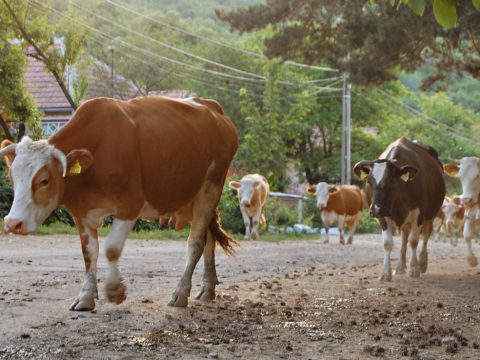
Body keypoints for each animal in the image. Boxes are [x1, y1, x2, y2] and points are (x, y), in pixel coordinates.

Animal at [0, 95, 239, 310]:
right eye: (12, 177)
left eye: (44, 180)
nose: (13, 223)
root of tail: (212, 107)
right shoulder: (81, 211)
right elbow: (89, 253)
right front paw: (86, 296)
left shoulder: (130, 204)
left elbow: (112, 248)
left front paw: (115, 291)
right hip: (191, 199)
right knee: (208, 239)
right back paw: (207, 289)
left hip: (210, 187)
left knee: (196, 242)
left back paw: (181, 293)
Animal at [352, 138, 446, 282]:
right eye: (369, 181)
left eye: (390, 180)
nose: (375, 209)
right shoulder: (383, 216)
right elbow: (387, 243)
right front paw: (386, 273)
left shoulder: (418, 215)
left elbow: (414, 241)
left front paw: (414, 269)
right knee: (404, 239)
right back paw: (400, 267)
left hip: (431, 215)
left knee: (425, 236)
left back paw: (422, 263)